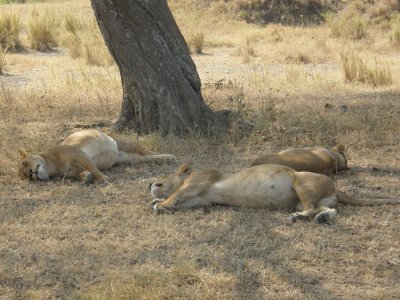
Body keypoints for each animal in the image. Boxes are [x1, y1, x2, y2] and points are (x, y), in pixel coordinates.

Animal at [17, 129, 177, 183]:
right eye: (25, 177)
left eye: (24, 163)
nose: (31, 174)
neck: (53, 166)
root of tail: (116, 151)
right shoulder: (74, 170)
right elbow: (83, 173)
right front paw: (86, 178)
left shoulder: (79, 155)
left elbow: (93, 168)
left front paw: (104, 178)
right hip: (129, 159)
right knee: (144, 158)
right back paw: (165, 159)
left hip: (125, 142)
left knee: (147, 151)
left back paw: (169, 156)